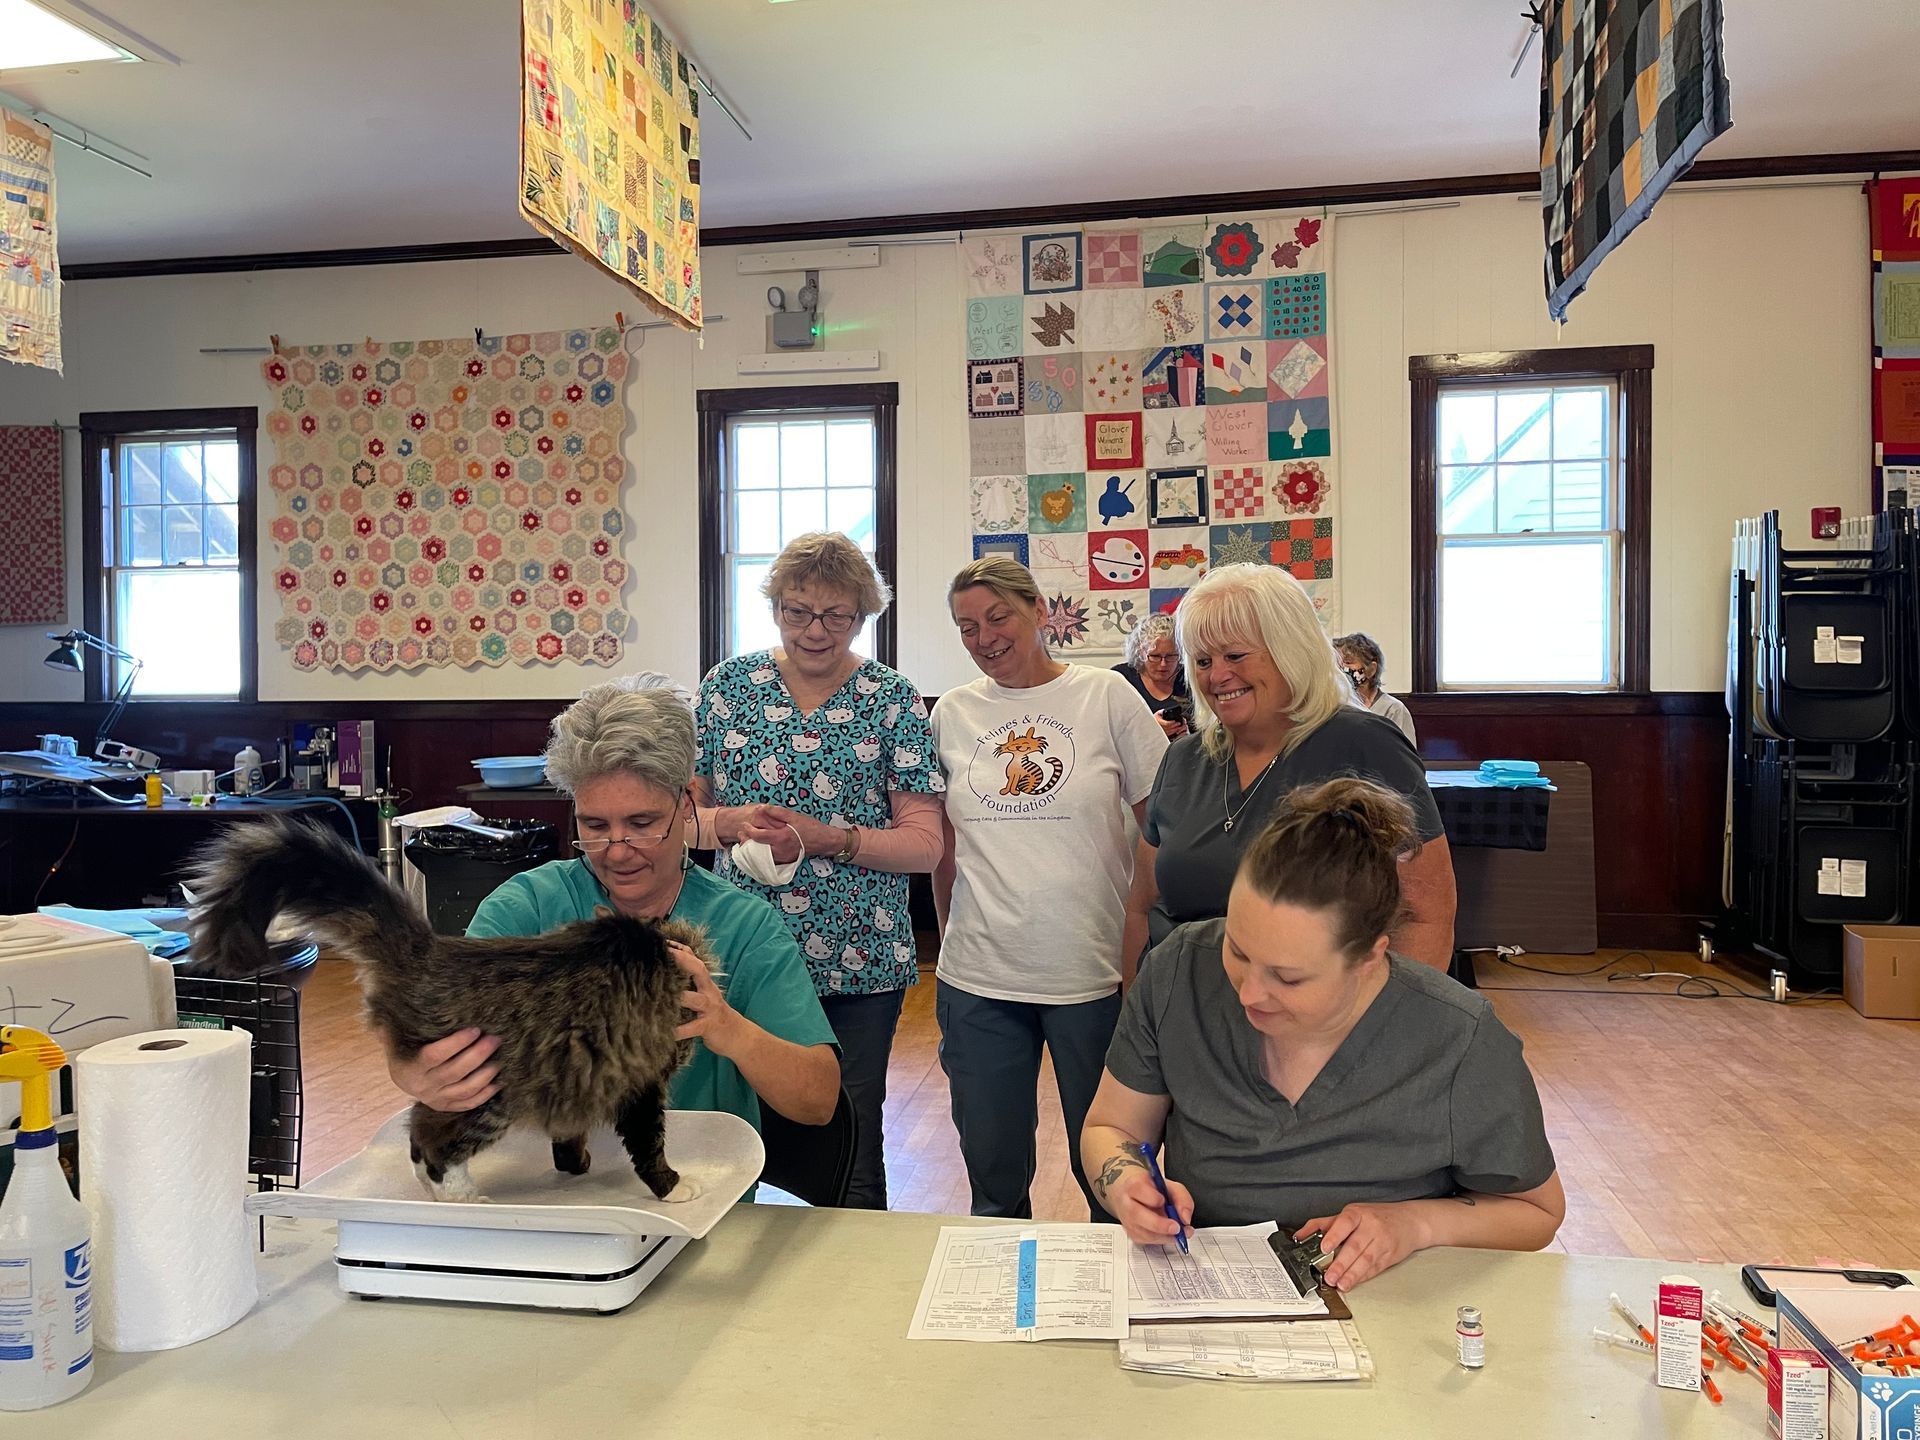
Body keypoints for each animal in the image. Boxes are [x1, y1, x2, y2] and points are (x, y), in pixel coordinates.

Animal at [185, 819, 707, 1206]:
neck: (660, 946)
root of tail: (429, 952)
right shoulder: (642, 1082)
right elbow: (649, 1146)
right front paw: (673, 1188)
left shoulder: (584, 1083)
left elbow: (568, 1133)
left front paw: (573, 1165)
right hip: (486, 1095)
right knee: (431, 1138)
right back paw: (461, 1196)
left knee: (418, 1128)